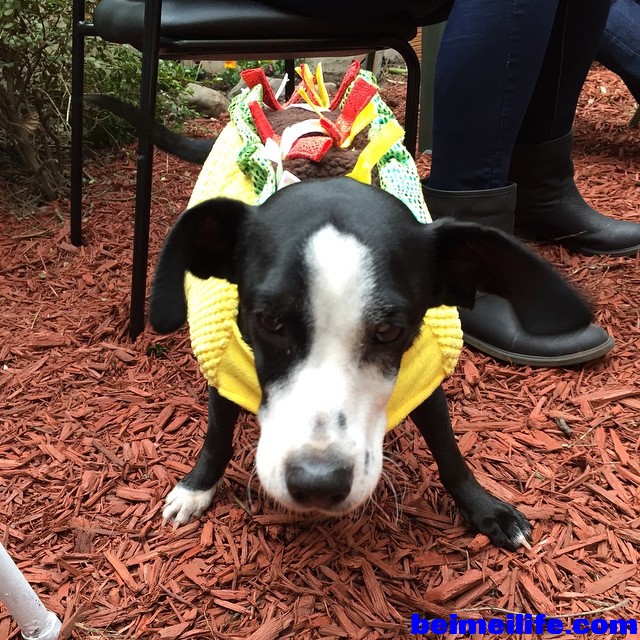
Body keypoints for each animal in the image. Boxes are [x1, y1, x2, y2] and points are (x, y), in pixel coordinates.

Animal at [105, 65, 593, 551]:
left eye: (390, 332)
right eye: (270, 322)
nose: (318, 483)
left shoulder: (424, 377)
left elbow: (448, 449)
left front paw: (485, 508)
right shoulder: (224, 366)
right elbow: (217, 435)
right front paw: (197, 487)